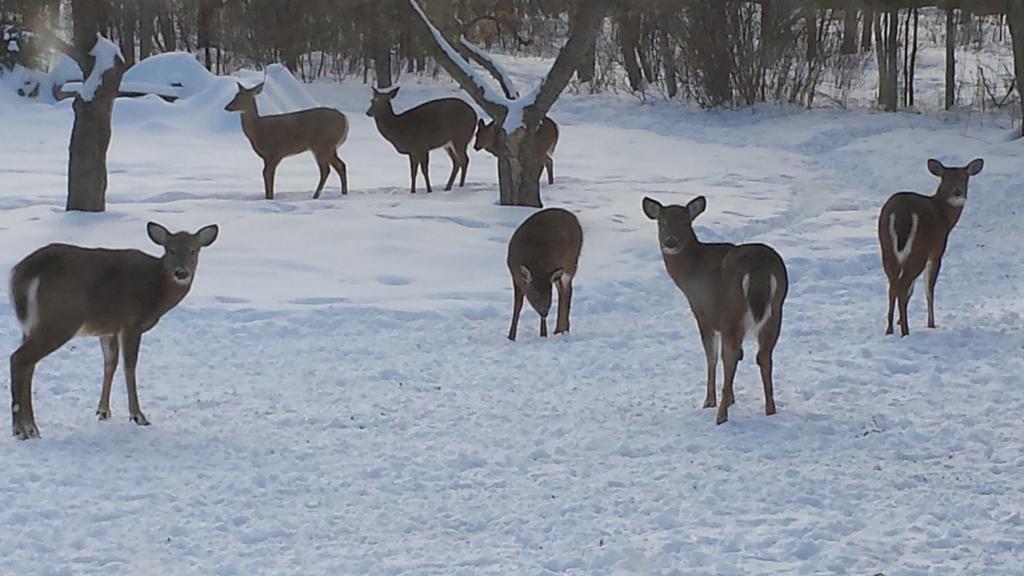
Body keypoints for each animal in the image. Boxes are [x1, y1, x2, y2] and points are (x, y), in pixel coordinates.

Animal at [9, 222, 218, 436]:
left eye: (193, 250)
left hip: (32, 325)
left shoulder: (109, 328)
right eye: (170, 250)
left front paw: (103, 411)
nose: (181, 273)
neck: (156, 289)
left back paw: (25, 428)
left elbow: (110, 363)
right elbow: (129, 366)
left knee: (27, 364)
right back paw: (25, 428)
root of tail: (27, 270)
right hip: (60, 319)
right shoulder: (132, 323)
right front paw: (138, 416)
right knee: (19, 359)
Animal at [505, 207, 581, 338]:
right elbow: (518, 305)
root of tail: (573, 217)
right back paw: (561, 329)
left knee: (567, 291)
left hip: (571, 263)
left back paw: (561, 329)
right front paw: (511, 336)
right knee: (563, 291)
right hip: (559, 274)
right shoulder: (515, 276)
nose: (545, 312)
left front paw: (543, 334)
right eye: (535, 293)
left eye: (549, 294)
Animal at [643, 194, 786, 424]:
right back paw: (769, 410)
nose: (670, 242)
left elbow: (711, 356)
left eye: (685, 222)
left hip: (732, 310)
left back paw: (721, 415)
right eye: (662, 222)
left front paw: (710, 401)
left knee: (732, 354)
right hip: (776, 310)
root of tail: (759, 266)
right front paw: (731, 398)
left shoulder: (704, 313)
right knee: (763, 355)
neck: (690, 271)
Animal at [880, 156, 983, 336]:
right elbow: (929, 290)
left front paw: (899, 320)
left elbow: (912, 289)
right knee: (902, 286)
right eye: (946, 178)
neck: (944, 217)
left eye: (965, 178)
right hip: (919, 249)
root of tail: (902, 214)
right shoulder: (936, 251)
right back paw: (905, 331)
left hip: (887, 249)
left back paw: (890, 329)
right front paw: (931, 323)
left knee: (893, 286)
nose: (957, 193)